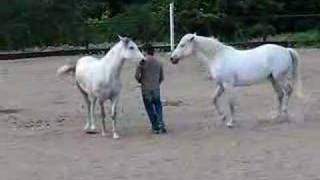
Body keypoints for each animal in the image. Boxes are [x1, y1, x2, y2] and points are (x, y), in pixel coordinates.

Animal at [170, 33, 302, 127]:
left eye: (182, 45)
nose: (172, 58)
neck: (218, 56)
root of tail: (286, 50)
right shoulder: (221, 85)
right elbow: (213, 99)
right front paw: (222, 117)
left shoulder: (228, 85)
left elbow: (231, 103)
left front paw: (231, 122)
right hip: (273, 79)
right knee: (280, 94)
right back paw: (276, 116)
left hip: (279, 77)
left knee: (288, 91)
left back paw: (284, 114)